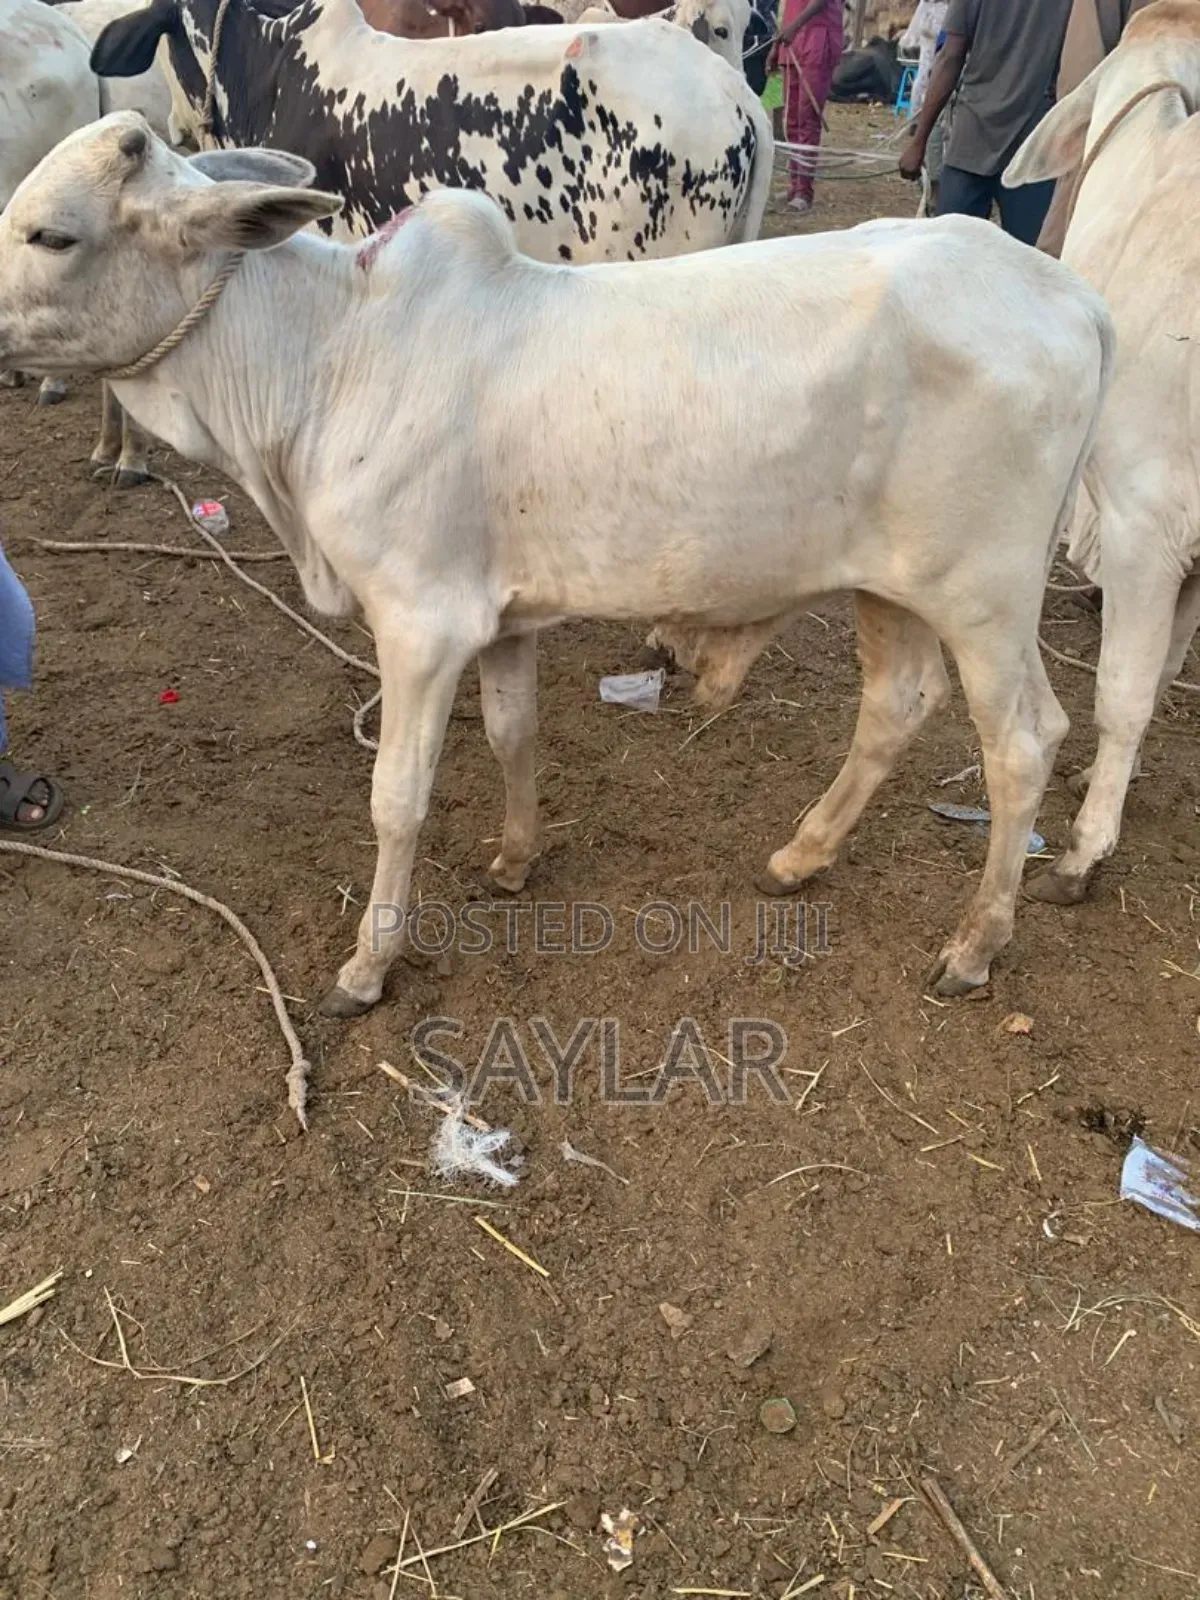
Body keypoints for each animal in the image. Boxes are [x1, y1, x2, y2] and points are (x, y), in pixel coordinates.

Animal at [0, 114, 1114, 1014]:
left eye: (53, 233)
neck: (330, 356)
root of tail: (1069, 293)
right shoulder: (499, 620)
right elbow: (512, 733)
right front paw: (513, 857)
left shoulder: (421, 622)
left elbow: (397, 796)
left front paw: (369, 965)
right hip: (895, 587)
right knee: (896, 705)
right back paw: (799, 856)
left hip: (986, 595)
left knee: (1025, 744)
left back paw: (975, 945)